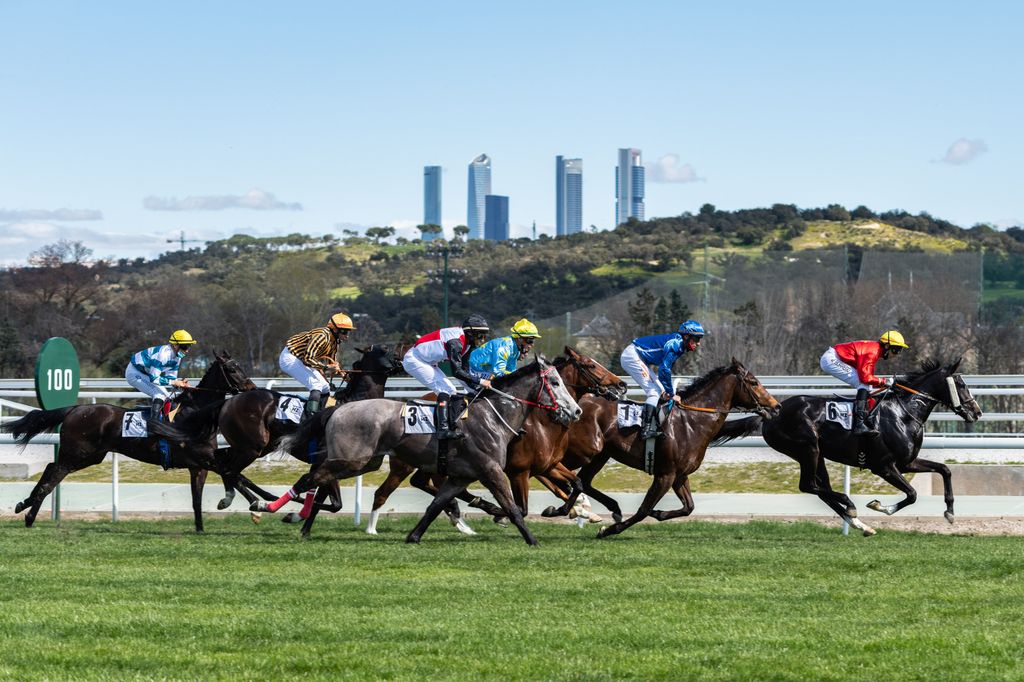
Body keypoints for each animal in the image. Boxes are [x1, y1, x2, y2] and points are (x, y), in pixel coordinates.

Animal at [2, 350, 256, 532]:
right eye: (232, 369)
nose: (251, 388)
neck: (195, 414)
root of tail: (75, 409)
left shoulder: (199, 465)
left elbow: (199, 499)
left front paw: (202, 527)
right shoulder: (203, 458)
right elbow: (234, 475)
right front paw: (255, 506)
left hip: (90, 456)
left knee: (51, 469)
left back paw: (27, 510)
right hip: (77, 453)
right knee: (53, 473)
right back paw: (27, 510)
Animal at [368, 346, 622, 532]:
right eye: (590, 364)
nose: (621, 384)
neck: (543, 422)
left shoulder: (548, 465)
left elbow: (575, 484)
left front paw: (572, 510)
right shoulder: (521, 470)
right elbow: (523, 507)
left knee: (424, 483)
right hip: (407, 464)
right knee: (389, 491)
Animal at [544, 356, 774, 536]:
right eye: (753, 382)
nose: (775, 406)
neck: (691, 422)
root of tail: (572, 404)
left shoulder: (680, 475)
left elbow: (688, 507)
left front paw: (659, 513)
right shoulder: (665, 475)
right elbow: (643, 510)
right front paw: (608, 530)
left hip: (599, 455)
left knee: (581, 480)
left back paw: (578, 508)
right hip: (581, 451)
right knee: (554, 471)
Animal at [724, 358, 978, 532]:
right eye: (961, 385)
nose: (976, 412)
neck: (904, 412)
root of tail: (771, 414)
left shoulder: (907, 463)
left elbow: (944, 469)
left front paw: (950, 512)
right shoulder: (884, 467)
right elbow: (913, 494)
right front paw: (880, 506)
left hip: (817, 455)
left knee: (820, 489)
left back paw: (858, 523)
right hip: (808, 448)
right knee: (808, 486)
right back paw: (850, 505)